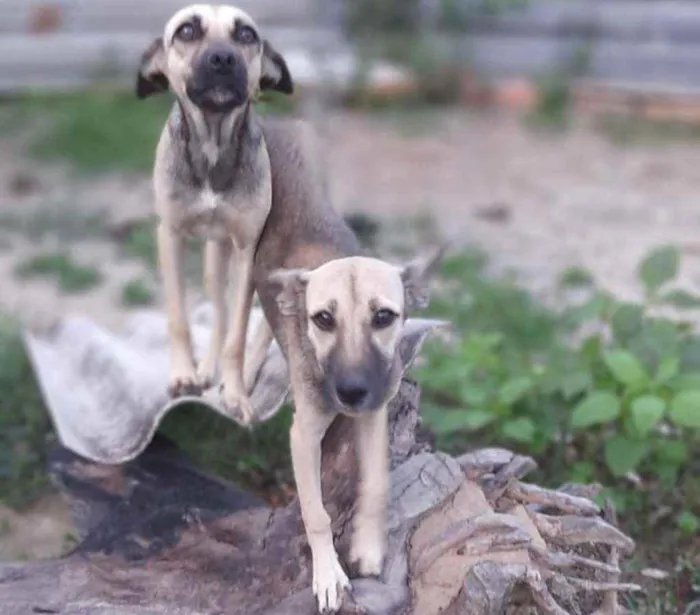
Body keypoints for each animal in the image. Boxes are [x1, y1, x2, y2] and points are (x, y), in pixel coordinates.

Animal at [137, 3, 292, 424]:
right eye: (187, 31)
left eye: (246, 35)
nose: (223, 58)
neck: (212, 145)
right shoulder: (170, 236)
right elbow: (180, 317)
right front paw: (183, 376)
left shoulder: (247, 251)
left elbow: (238, 335)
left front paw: (237, 394)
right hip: (213, 265)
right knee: (219, 316)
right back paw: (206, 370)